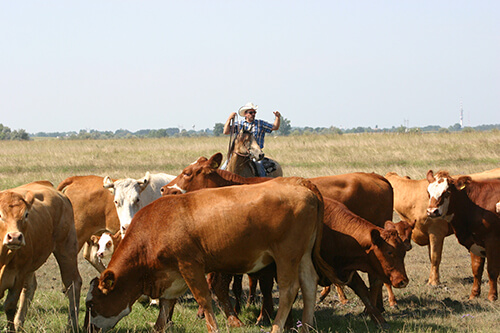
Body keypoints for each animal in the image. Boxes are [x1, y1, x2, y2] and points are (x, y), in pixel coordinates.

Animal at [0, 182, 82, 332]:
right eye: (0, 214)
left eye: (26, 214)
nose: (14, 237)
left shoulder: (18, 276)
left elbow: (9, 306)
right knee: (30, 287)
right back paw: (19, 324)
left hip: (67, 249)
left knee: (73, 284)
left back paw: (71, 325)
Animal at [85, 176, 340, 332]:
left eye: (91, 304)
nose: (89, 328)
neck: (155, 225)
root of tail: (302, 186)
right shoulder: (170, 274)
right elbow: (166, 305)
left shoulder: (190, 265)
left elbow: (204, 300)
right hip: (303, 255)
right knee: (309, 283)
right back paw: (306, 326)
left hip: (286, 255)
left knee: (289, 290)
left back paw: (277, 327)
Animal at [426, 170, 500, 300]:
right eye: (428, 192)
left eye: (447, 192)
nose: (432, 211)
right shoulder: (474, 242)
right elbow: (476, 269)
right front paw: (474, 294)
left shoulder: (492, 241)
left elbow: (492, 270)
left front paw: (492, 296)